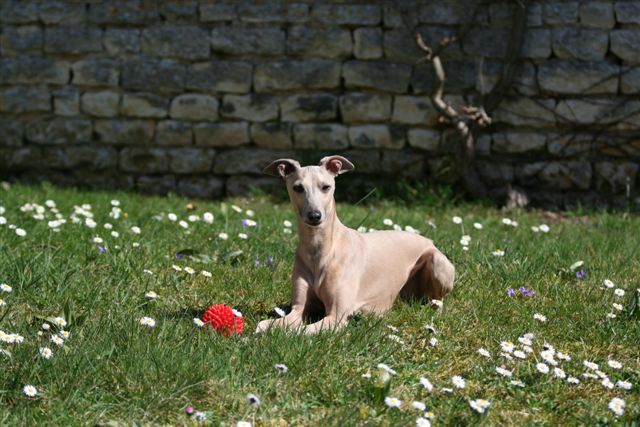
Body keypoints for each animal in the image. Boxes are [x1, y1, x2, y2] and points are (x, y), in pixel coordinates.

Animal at [256, 155, 455, 334]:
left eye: (326, 187)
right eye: (298, 188)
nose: (315, 215)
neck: (322, 249)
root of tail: (428, 240)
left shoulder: (336, 317)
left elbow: (300, 331)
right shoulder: (298, 309)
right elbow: (263, 324)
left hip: (436, 262)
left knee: (438, 301)